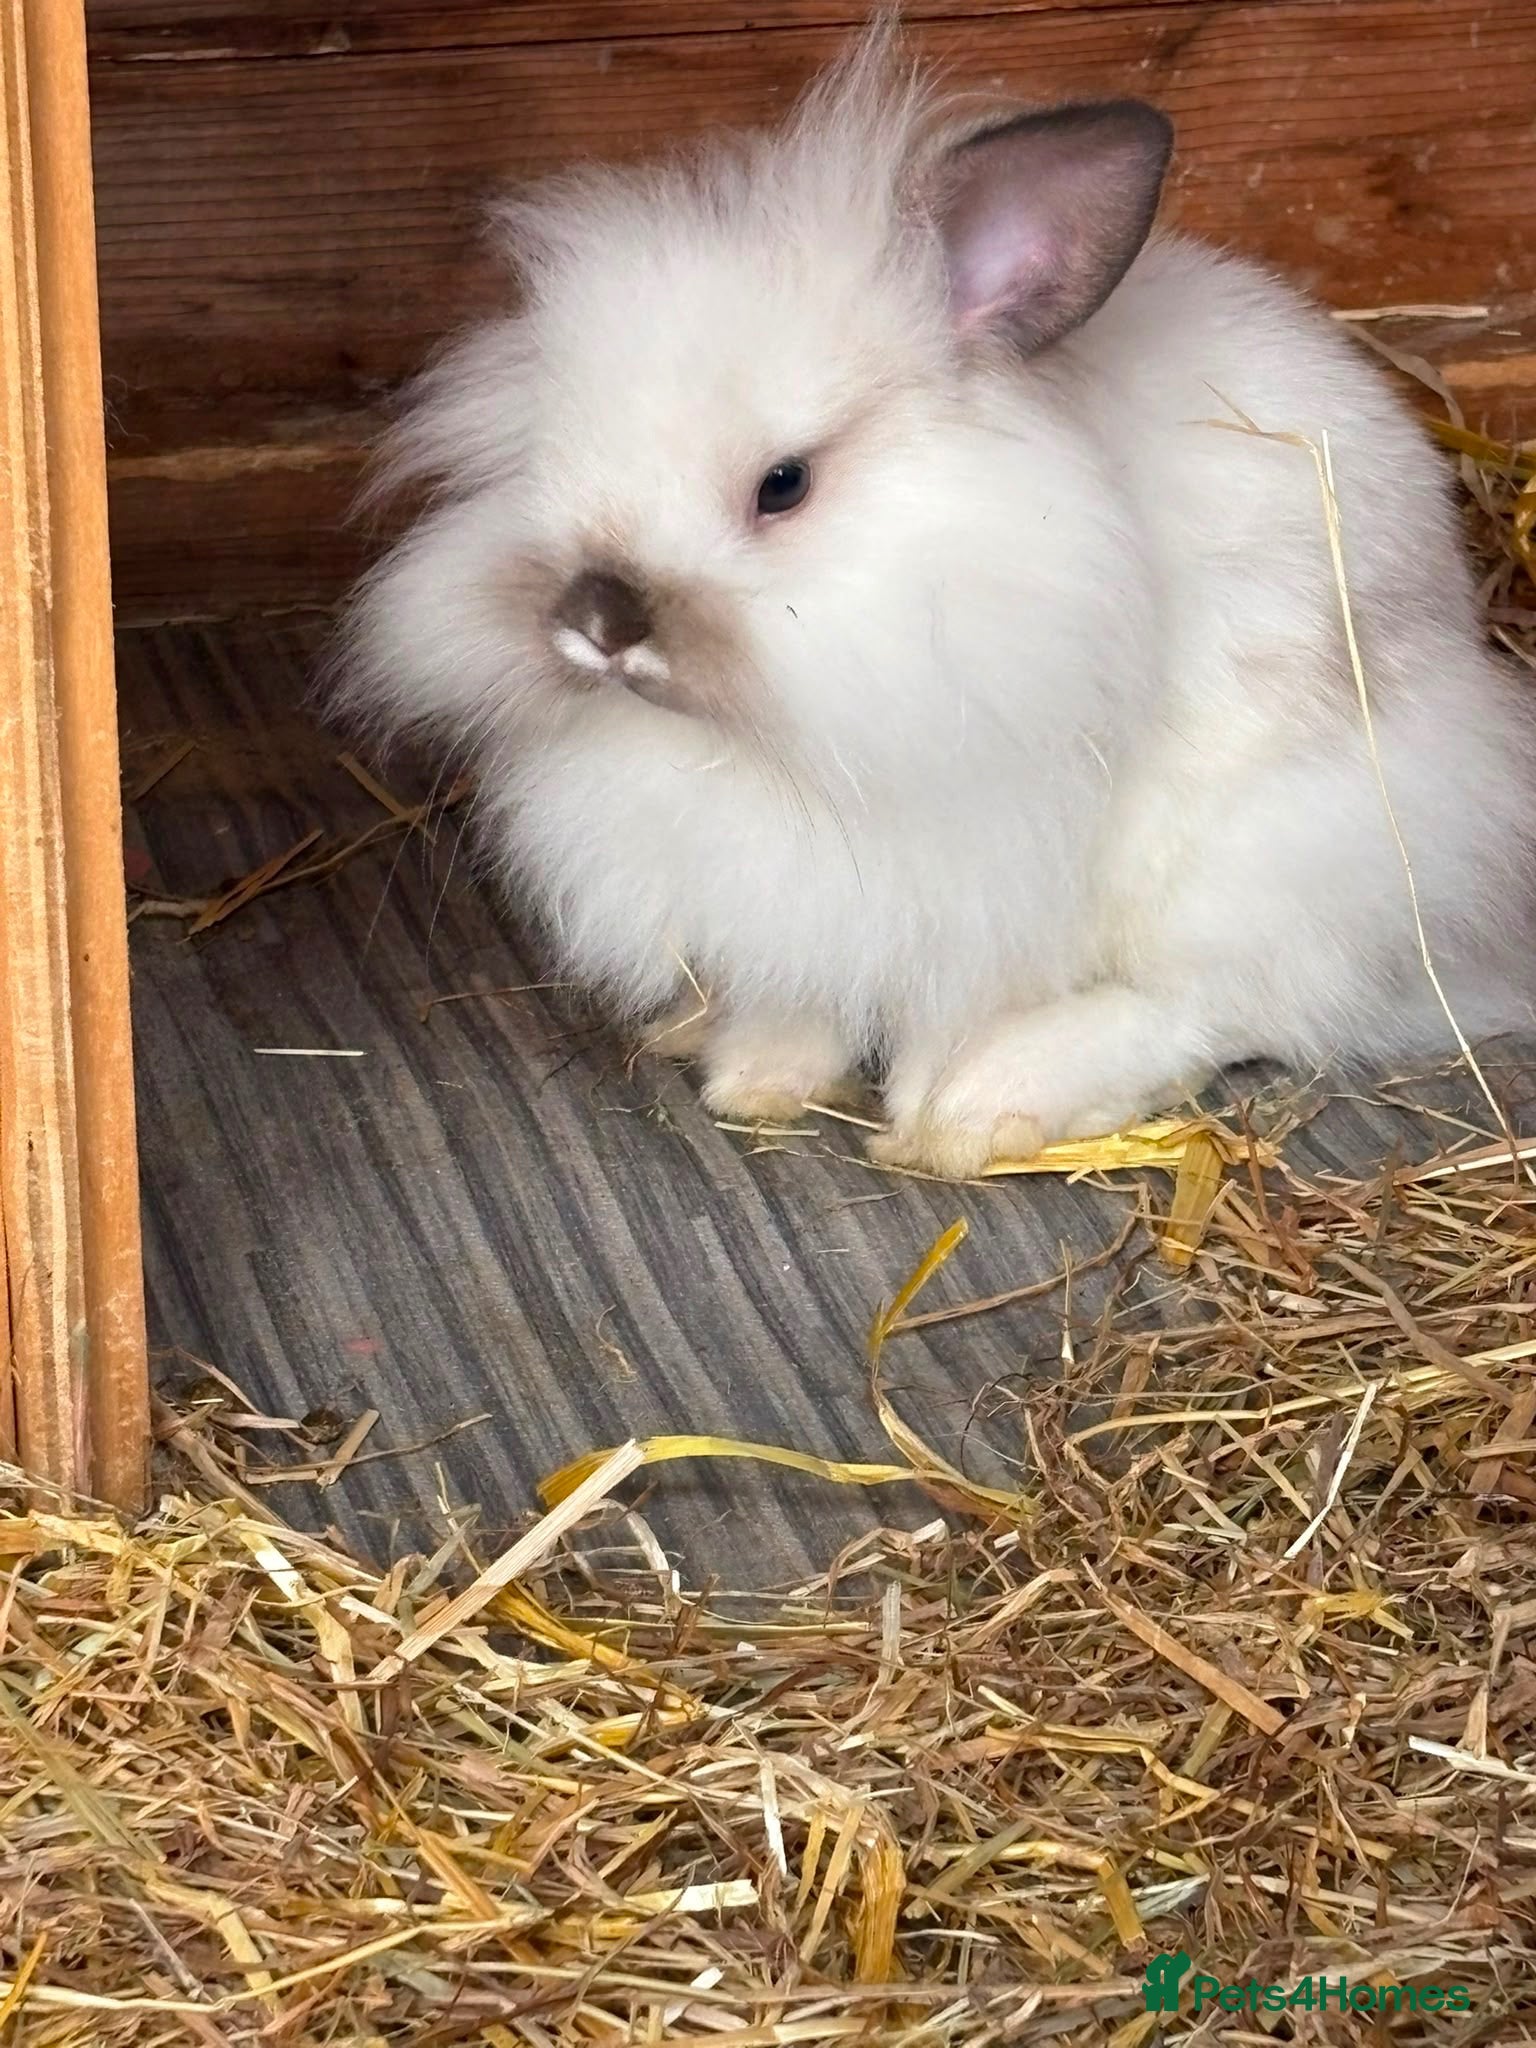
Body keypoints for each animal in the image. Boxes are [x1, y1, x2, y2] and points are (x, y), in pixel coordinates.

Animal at [337, 24, 1536, 1179]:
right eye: (547, 443)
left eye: (784, 484)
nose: (597, 621)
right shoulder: (787, 895)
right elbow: (797, 988)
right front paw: (760, 1077)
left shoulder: (976, 873)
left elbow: (952, 1002)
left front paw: (919, 1110)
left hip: (1284, 845)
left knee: (1231, 1000)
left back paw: (996, 1098)